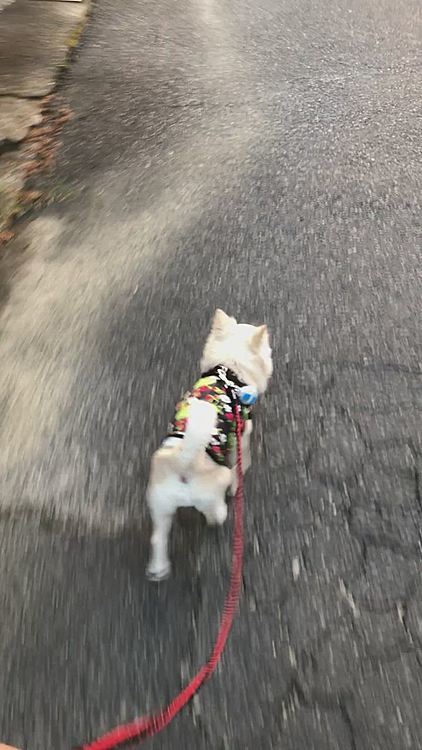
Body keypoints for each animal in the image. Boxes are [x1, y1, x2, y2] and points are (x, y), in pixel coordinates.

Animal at [147, 312, 272, 580]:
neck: (229, 369)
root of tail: (184, 464)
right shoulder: (243, 433)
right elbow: (241, 463)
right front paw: (241, 477)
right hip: (212, 492)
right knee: (215, 512)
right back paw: (221, 517)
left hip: (160, 506)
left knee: (158, 538)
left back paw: (159, 569)